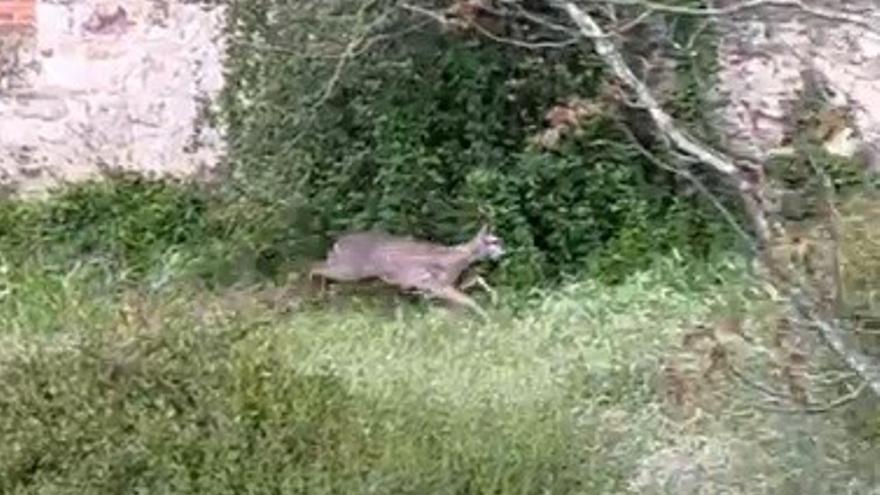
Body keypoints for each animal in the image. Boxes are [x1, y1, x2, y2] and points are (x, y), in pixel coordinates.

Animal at [310, 225, 506, 318]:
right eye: (494, 241)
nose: (504, 253)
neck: (458, 258)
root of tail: (336, 244)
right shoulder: (436, 285)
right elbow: (469, 300)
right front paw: (487, 318)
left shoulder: (440, 286)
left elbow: (478, 281)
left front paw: (495, 301)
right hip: (350, 269)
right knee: (315, 267)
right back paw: (316, 295)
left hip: (352, 272)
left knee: (330, 281)